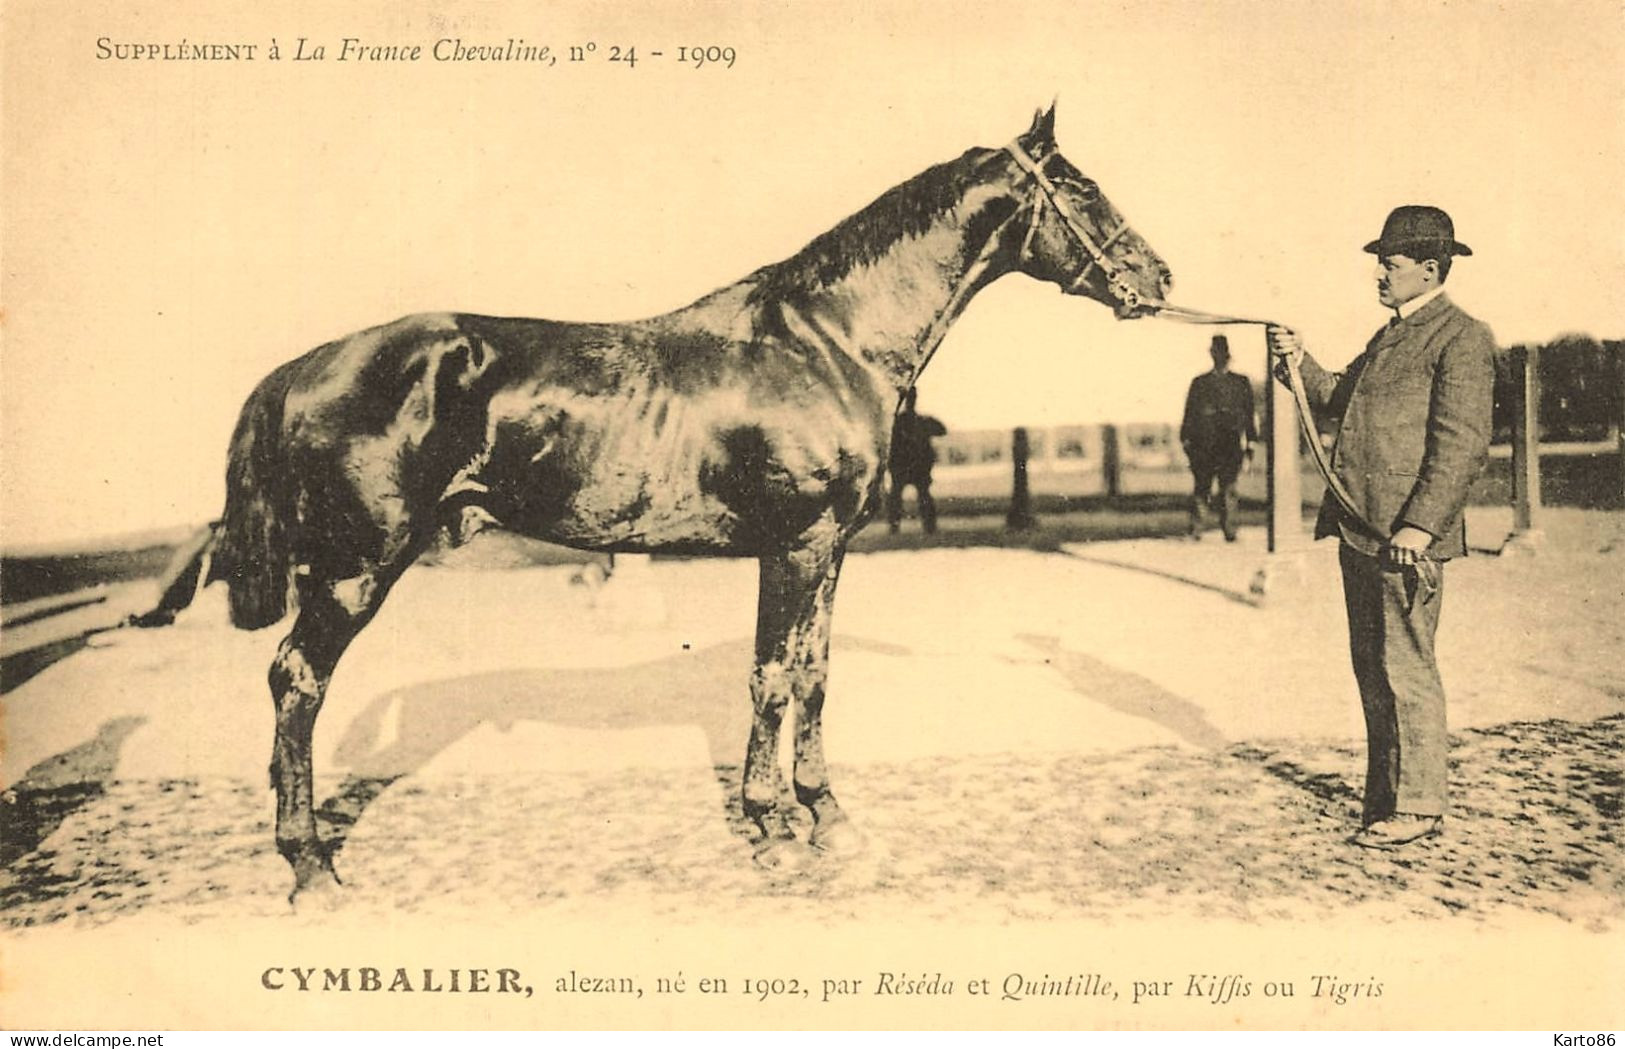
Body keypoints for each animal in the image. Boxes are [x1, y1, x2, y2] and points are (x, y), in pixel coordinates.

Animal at [171, 102, 1176, 902]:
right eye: (1079, 188)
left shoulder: (832, 549)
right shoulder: (794, 544)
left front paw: (828, 815)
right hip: (356, 567)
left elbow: (813, 675)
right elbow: (772, 677)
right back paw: (310, 866)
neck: (828, 343)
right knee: (298, 680)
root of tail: (307, 365)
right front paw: (772, 829)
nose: (1158, 279)